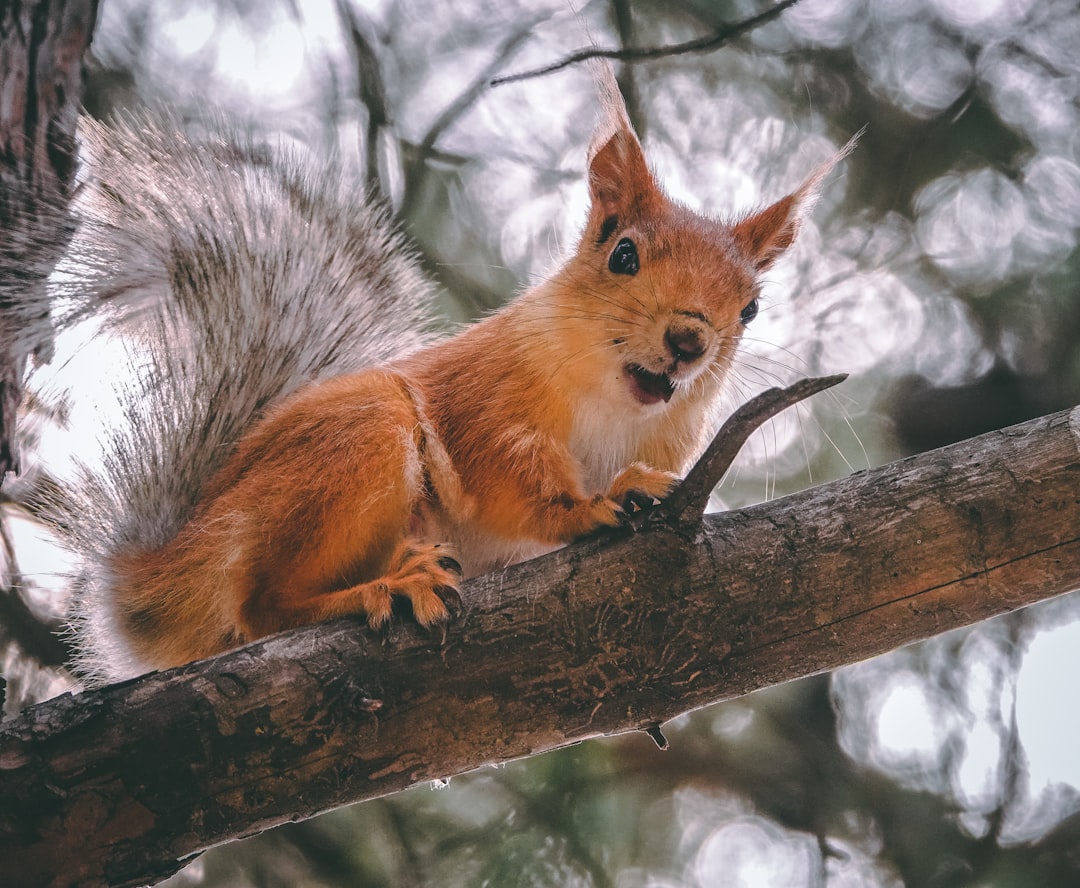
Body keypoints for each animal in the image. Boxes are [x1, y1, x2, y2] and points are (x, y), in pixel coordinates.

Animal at [48, 66, 842, 687]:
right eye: (622, 254)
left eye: (751, 306)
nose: (688, 340)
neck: (613, 403)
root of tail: (173, 566)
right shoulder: (485, 406)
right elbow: (519, 488)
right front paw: (595, 503)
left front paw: (636, 485)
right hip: (357, 438)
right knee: (262, 607)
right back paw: (386, 586)